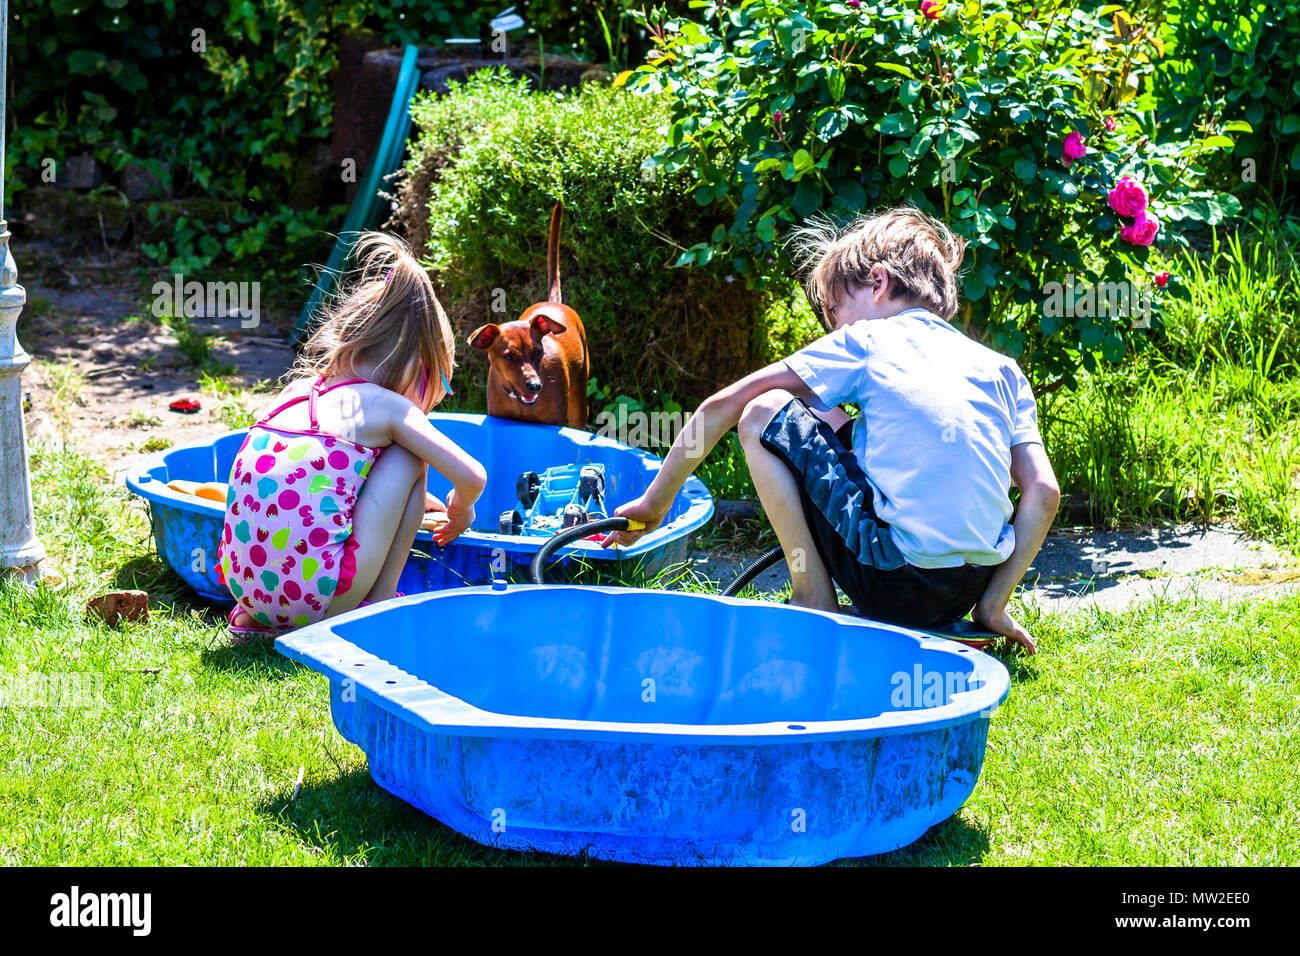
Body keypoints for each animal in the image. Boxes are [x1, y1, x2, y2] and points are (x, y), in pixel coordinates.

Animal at [467, 206, 590, 429]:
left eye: (539, 353)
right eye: (508, 357)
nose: (535, 386)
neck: (521, 404)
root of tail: (554, 302)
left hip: (579, 399)